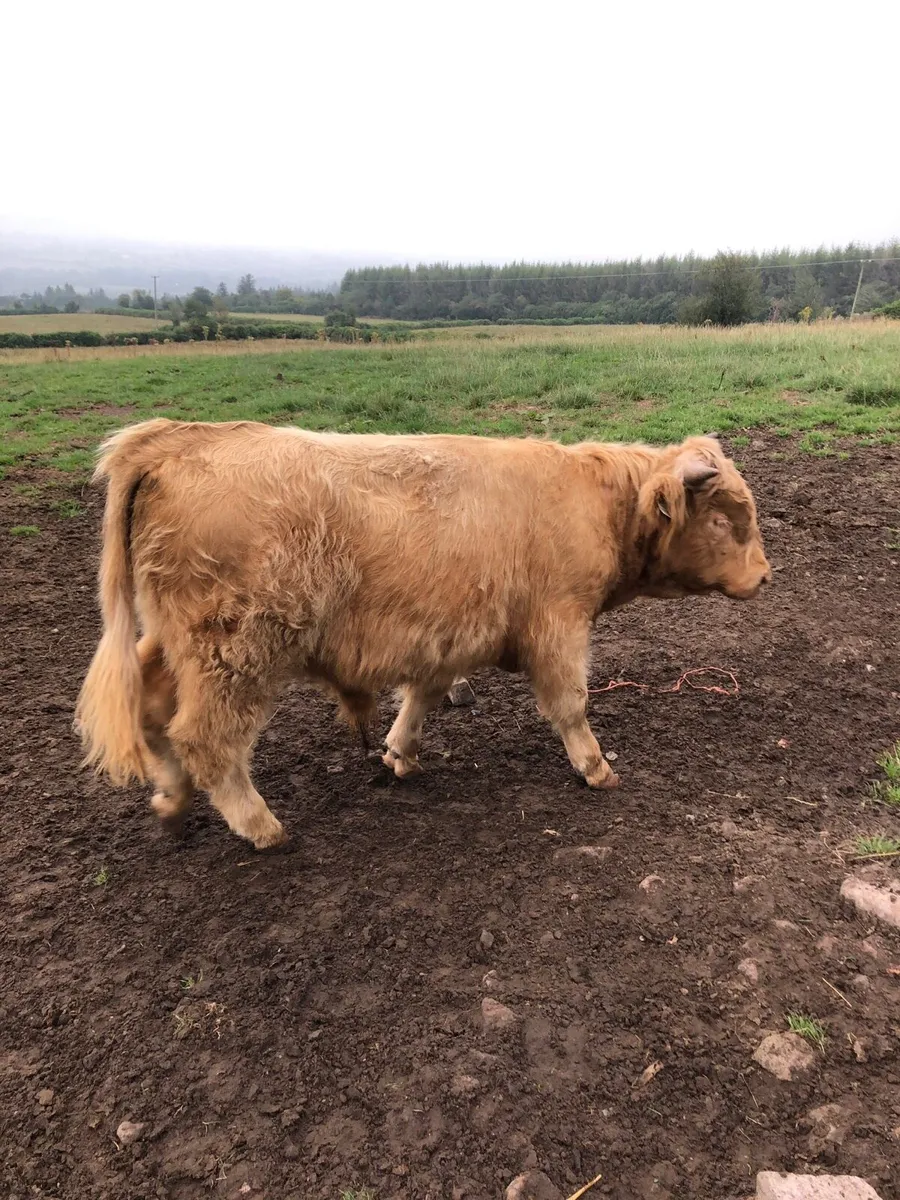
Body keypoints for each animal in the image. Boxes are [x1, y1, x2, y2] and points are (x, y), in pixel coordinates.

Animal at [76, 419, 770, 850]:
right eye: (722, 519)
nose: (764, 575)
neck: (597, 503)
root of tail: (176, 438)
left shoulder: (444, 635)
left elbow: (422, 697)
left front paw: (399, 753)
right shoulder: (559, 626)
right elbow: (571, 705)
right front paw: (596, 767)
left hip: (174, 643)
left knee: (152, 708)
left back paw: (171, 802)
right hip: (234, 651)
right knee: (205, 736)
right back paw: (261, 826)